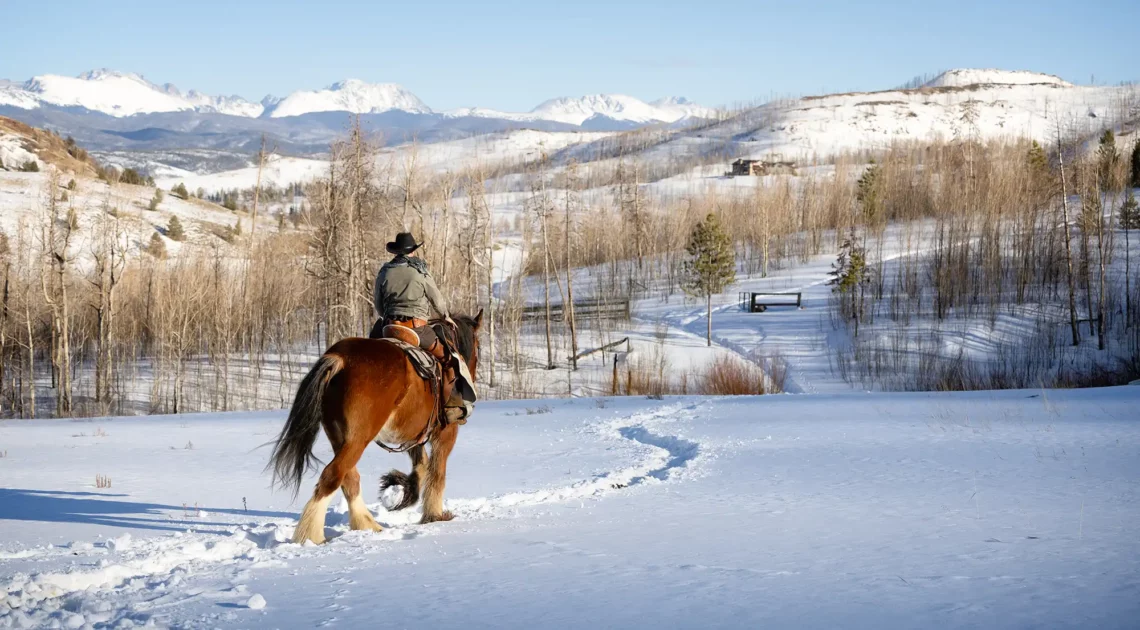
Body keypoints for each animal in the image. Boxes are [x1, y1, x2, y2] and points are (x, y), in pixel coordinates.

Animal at [267, 311, 482, 544]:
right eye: (478, 348)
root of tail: (340, 359)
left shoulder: (414, 435)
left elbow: (422, 465)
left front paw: (403, 489)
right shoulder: (445, 433)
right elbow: (437, 472)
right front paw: (433, 515)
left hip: (339, 437)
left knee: (349, 479)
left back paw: (366, 524)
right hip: (358, 438)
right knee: (332, 476)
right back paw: (311, 535)